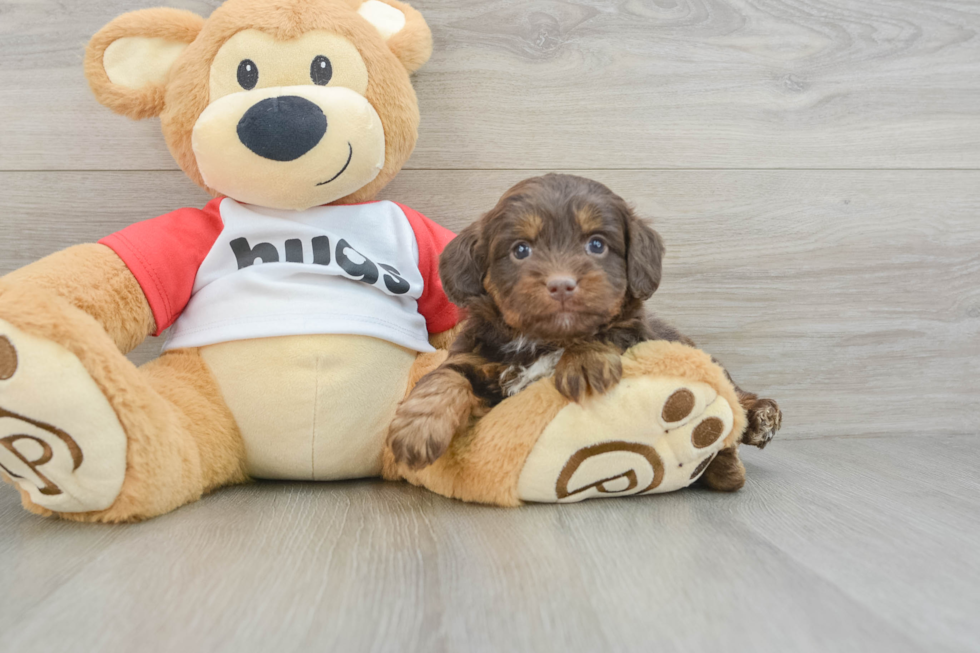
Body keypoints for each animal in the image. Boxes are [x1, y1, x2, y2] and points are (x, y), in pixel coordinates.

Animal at [386, 173, 776, 488]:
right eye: (520, 250)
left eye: (597, 244)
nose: (561, 285)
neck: (546, 340)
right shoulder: (476, 354)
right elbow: (445, 376)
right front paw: (417, 429)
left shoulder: (633, 333)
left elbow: (602, 332)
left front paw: (584, 362)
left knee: (732, 394)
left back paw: (758, 422)